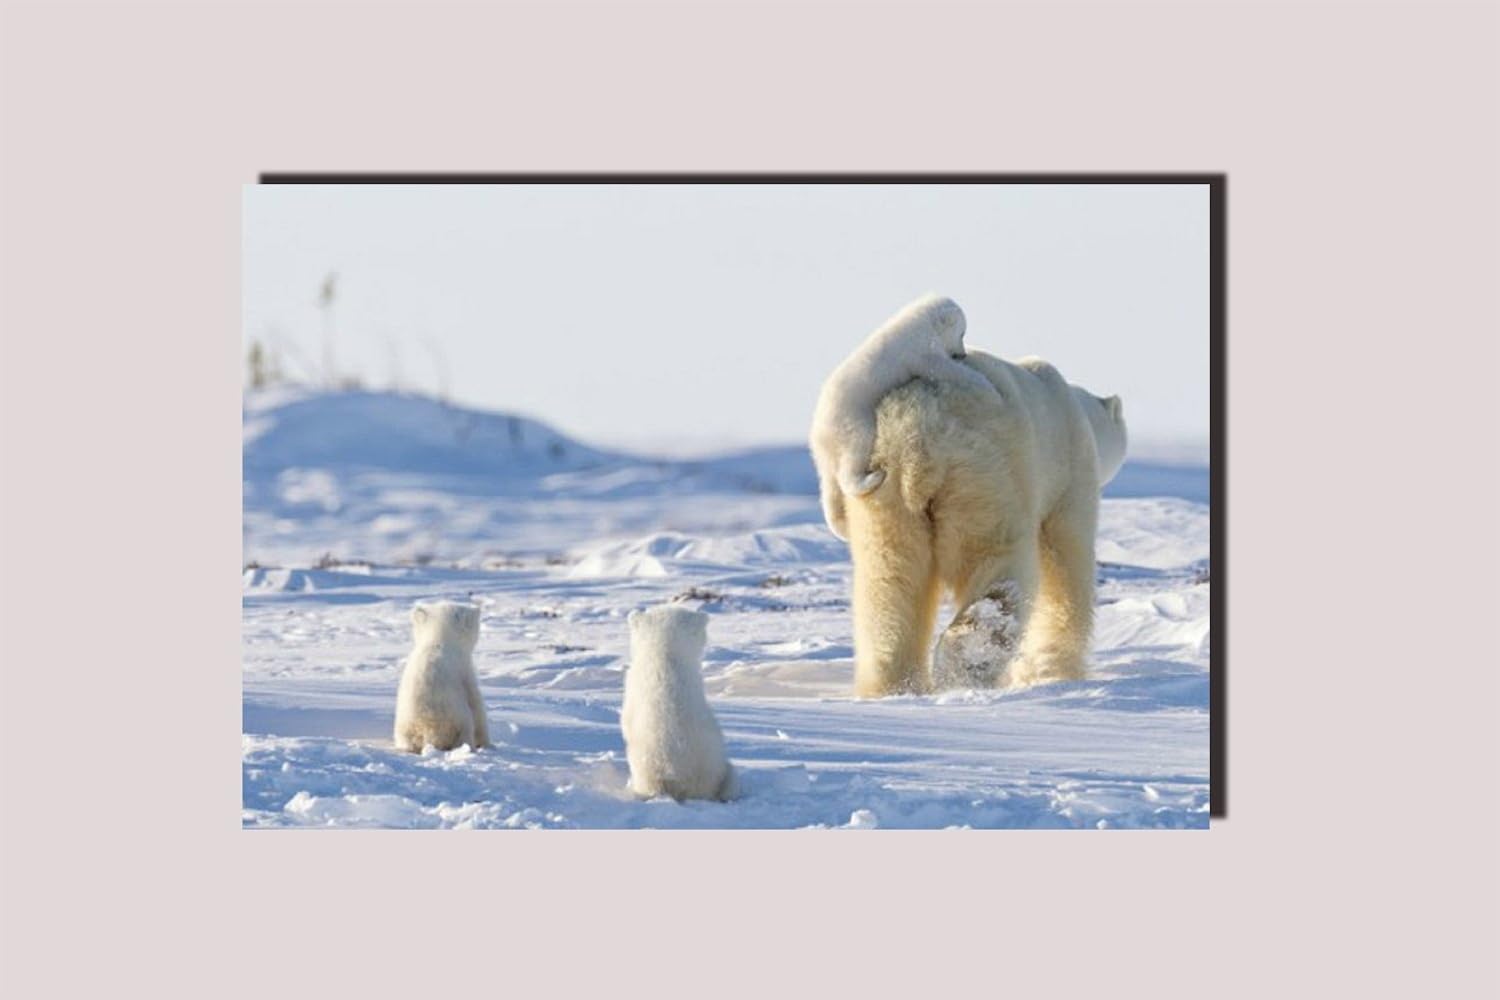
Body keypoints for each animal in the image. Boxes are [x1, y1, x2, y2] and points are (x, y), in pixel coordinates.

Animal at [393, 601, 490, 752]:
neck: (438, 643)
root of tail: (429, 730)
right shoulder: (464, 671)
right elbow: (476, 704)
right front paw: (488, 743)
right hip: (458, 718)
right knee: (466, 731)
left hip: (404, 726)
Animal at [810, 294, 996, 541]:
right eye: (962, 332)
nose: (962, 353)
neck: (918, 324)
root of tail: (819, 437)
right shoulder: (921, 351)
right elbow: (943, 368)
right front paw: (985, 383)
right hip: (852, 418)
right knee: (854, 454)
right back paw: (872, 477)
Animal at [838, 347, 1126, 697]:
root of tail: (916, 433)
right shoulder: (1069, 473)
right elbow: (1066, 564)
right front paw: (1056, 671)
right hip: (983, 474)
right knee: (997, 561)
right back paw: (967, 665)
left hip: (884, 494)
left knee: (889, 581)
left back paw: (892, 686)